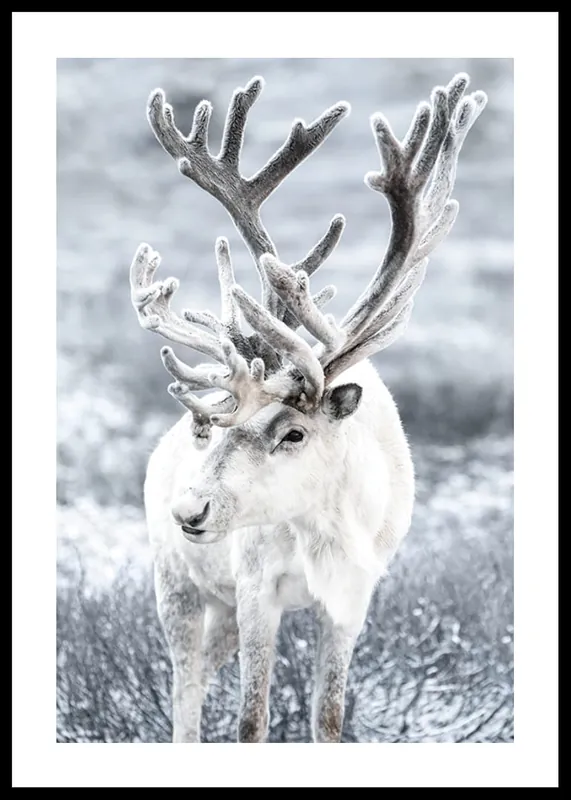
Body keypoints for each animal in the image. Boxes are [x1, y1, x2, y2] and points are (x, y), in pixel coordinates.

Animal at [129, 72, 487, 743]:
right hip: (178, 584)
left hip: (219, 610)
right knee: (185, 689)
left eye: (293, 433)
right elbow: (251, 721)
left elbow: (329, 717)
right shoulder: (254, 590)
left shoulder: (352, 598)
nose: (190, 509)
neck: (326, 531)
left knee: (203, 672)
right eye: (217, 429)